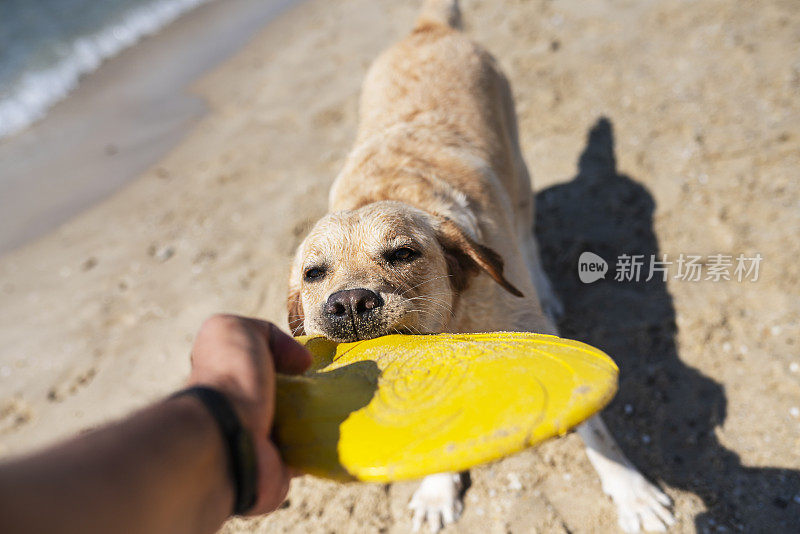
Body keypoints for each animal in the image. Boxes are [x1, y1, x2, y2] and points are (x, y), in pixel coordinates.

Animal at [288, 2, 676, 532]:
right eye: (313, 273)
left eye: (403, 253)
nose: (348, 303)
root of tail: (428, 27)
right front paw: (437, 489)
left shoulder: (542, 339)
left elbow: (593, 426)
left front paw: (632, 493)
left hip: (519, 169)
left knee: (528, 232)